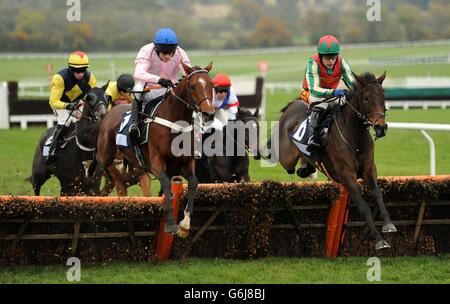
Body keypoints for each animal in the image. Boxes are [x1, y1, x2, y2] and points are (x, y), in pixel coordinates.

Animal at [95, 63, 214, 236]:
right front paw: (170, 224)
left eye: (212, 85)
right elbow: (166, 184)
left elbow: (193, 183)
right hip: (106, 154)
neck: (175, 124)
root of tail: (108, 114)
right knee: (101, 163)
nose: (208, 114)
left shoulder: (186, 163)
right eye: (192, 87)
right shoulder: (156, 162)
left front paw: (184, 226)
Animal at [270, 72, 394, 251]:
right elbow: (363, 207)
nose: (381, 128)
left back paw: (305, 168)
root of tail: (293, 105)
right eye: (366, 98)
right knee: (285, 163)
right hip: (287, 158)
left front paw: (389, 224)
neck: (355, 137)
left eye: (384, 97)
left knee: (305, 164)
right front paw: (379, 240)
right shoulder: (346, 175)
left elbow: (378, 195)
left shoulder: (370, 168)